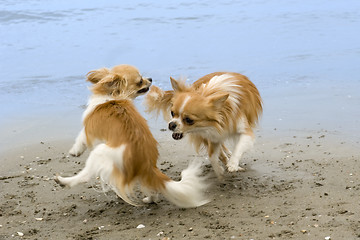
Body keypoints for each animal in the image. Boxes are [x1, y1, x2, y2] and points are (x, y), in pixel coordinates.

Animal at [54, 64, 210, 208]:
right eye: (140, 81)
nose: (150, 79)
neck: (112, 97)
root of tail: (148, 165)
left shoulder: (88, 128)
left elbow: (81, 138)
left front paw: (75, 151)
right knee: (152, 189)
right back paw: (149, 199)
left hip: (100, 152)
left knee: (85, 176)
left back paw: (64, 181)